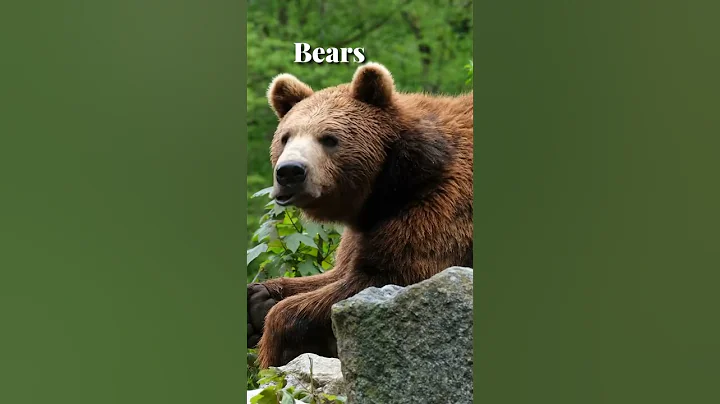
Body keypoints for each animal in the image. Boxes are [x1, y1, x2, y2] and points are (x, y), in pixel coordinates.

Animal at [247, 62, 473, 368]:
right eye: (285, 137)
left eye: (329, 139)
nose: (290, 172)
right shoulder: (362, 230)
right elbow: (337, 273)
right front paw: (258, 299)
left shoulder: (437, 210)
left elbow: (384, 277)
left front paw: (275, 343)